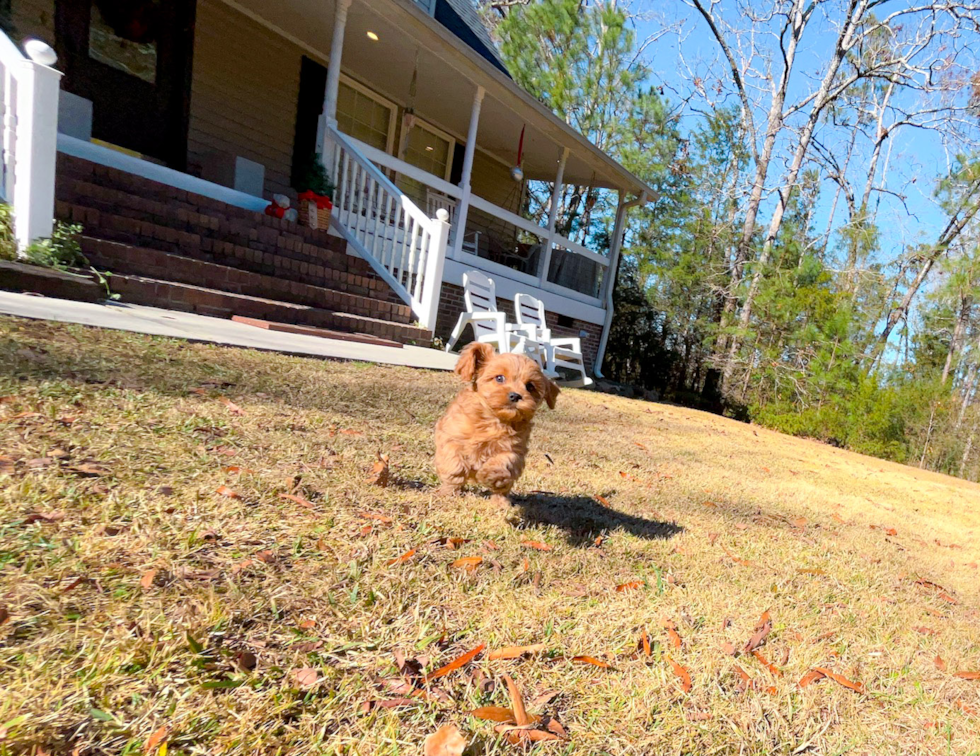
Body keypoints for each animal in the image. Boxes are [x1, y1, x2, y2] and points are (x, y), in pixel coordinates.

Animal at [436, 344, 560, 512]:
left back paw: (501, 503)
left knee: (501, 492)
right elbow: (454, 462)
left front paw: (490, 475)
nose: (515, 395)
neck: (493, 420)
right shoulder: (450, 435)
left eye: (530, 386)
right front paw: (452, 485)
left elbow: (504, 462)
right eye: (499, 378)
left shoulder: (514, 450)